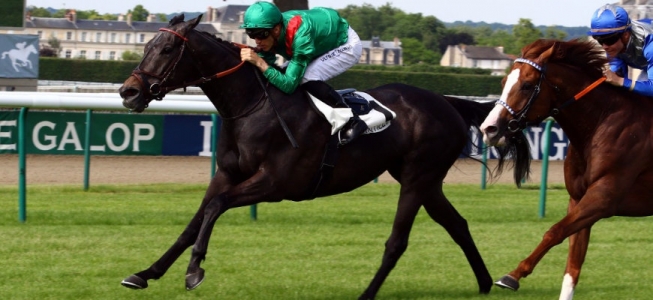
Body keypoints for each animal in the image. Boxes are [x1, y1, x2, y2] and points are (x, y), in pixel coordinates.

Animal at [117, 13, 528, 298]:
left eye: (166, 50)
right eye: (146, 46)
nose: (128, 92)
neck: (252, 106)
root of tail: (447, 102)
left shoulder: (274, 183)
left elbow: (215, 207)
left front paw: (194, 271)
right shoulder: (227, 174)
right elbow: (195, 221)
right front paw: (145, 273)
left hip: (417, 178)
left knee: (398, 241)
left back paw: (367, 293)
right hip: (425, 180)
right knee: (457, 224)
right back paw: (484, 283)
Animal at [476, 38, 652, 298]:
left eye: (527, 85)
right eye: (503, 81)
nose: (489, 128)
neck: (601, 122)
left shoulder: (603, 198)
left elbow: (554, 231)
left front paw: (513, 276)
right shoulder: (579, 199)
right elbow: (573, 265)